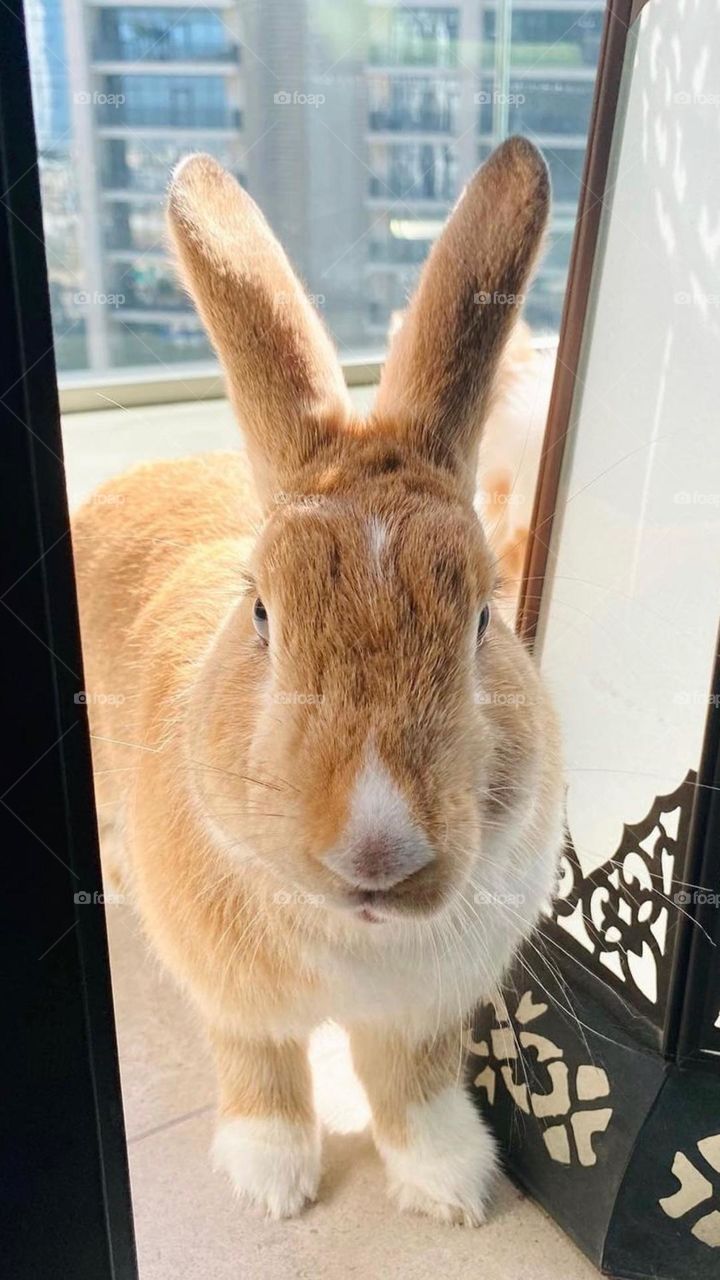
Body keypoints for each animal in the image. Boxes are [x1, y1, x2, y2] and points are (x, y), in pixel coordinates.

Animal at [71, 136, 563, 1226]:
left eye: (482, 618)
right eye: (263, 615)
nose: (377, 852)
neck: (357, 938)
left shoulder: (423, 1013)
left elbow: (410, 1085)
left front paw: (448, 1186)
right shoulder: (237, 1002)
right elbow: (261, 1069)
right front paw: (273, 1182)